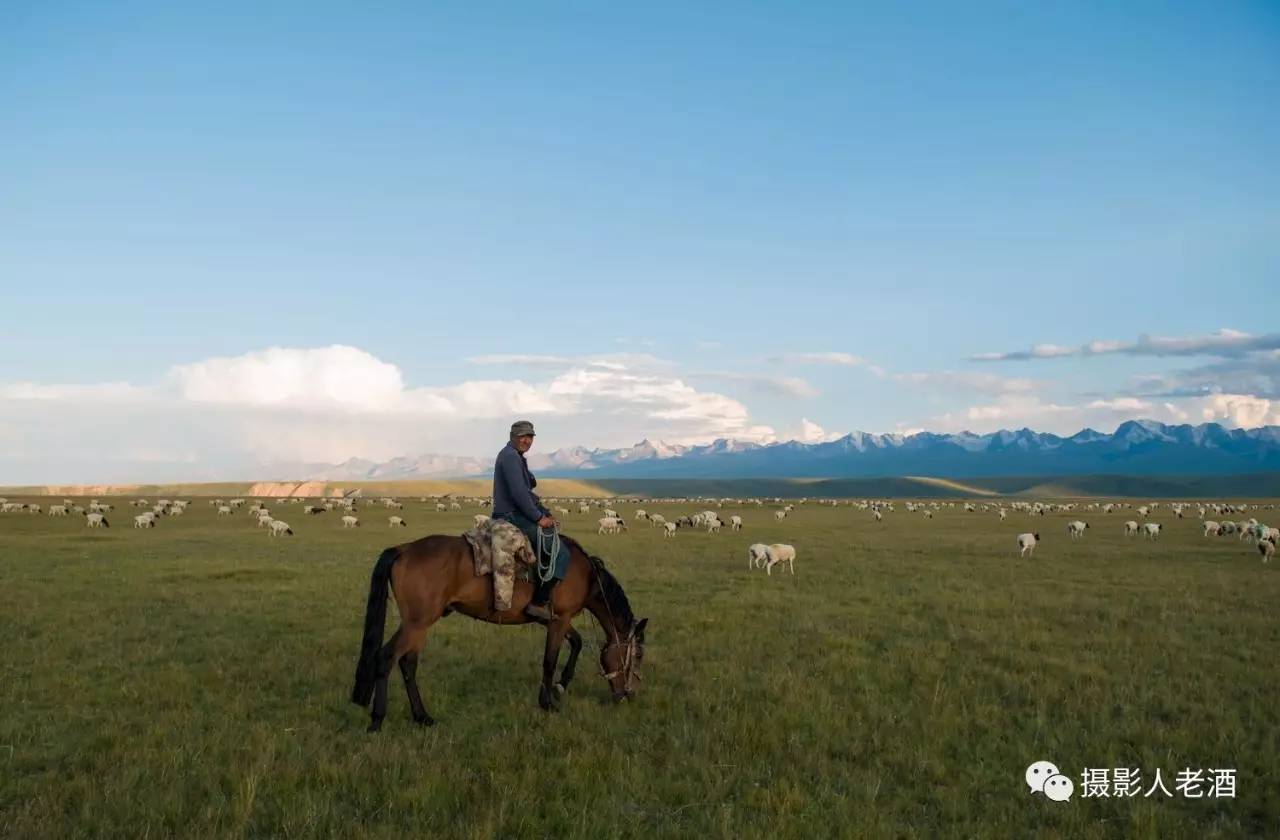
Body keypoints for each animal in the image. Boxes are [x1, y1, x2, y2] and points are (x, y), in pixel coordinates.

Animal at [350, 535, 650, 732]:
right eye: (637, 656)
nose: (629, 695)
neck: (584, 574)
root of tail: (403, 549)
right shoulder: (559, 620)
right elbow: (549, 660)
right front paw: (548, 702)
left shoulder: (553, 620)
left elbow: (576, 642)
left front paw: (561, 685)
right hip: (417, 622)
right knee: (386, 657)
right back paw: (377, 720)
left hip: (418, 624)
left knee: (407, 663)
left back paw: (422, 717)